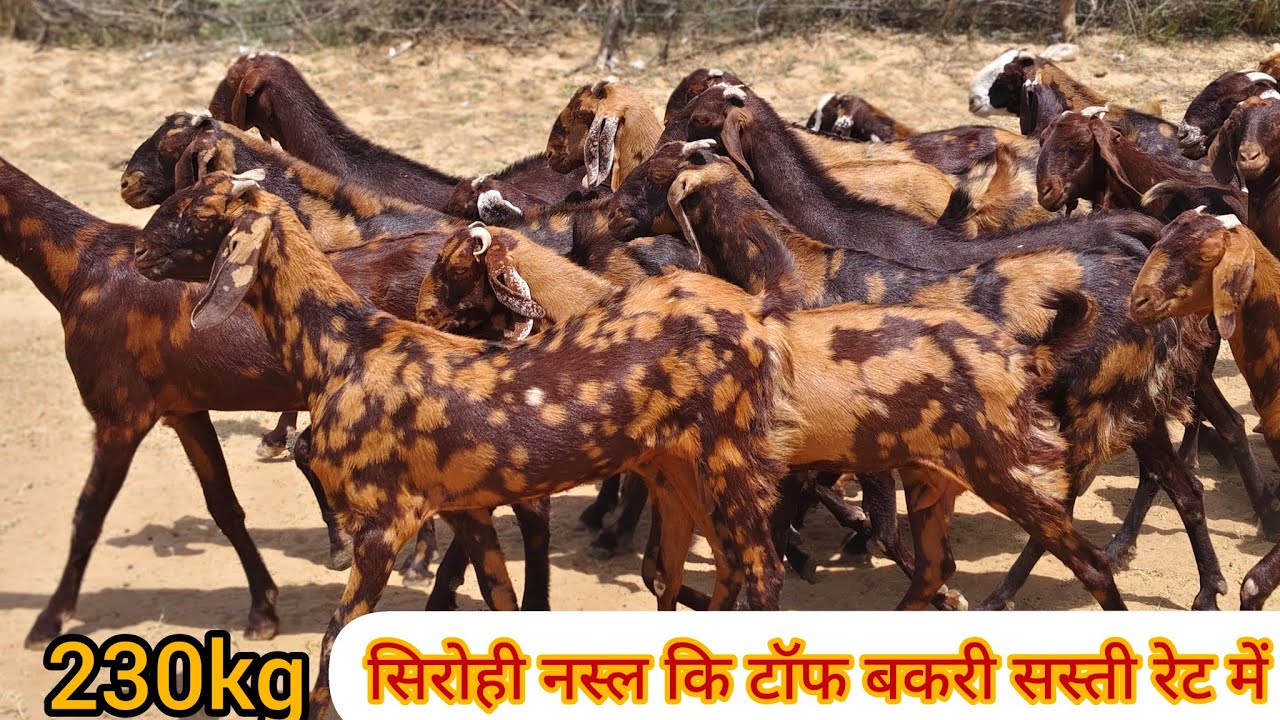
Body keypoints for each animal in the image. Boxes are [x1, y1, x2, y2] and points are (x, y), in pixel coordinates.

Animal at [133, 175, 802, 713]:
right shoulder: (468, 511)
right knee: (715, 566)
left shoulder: (383, 527)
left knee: (764, 570)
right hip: (678, 474)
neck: (344, 350)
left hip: (729, 460)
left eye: (193, 212)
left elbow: (332, 645)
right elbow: (501, 606)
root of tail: (756, 308)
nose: (137, 251)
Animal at [416, 204, 1127, 615]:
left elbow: (730, 578)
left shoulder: (722, 490)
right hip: (930, 488)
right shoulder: (678, 490)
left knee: (1090, 566)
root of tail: (1023, 354)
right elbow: (661, 578)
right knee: (930, 573)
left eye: (449, 270)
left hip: (1009, 479)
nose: (415, 314)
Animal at [611, 140, 1240, 610]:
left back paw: (1003, 596)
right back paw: (1208, 591)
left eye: (645, 179)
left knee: (1067, 516)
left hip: (1082, 424)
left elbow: (878, 529)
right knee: (1183, 490)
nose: (606, 208)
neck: (793, 270)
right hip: (1135, 417)